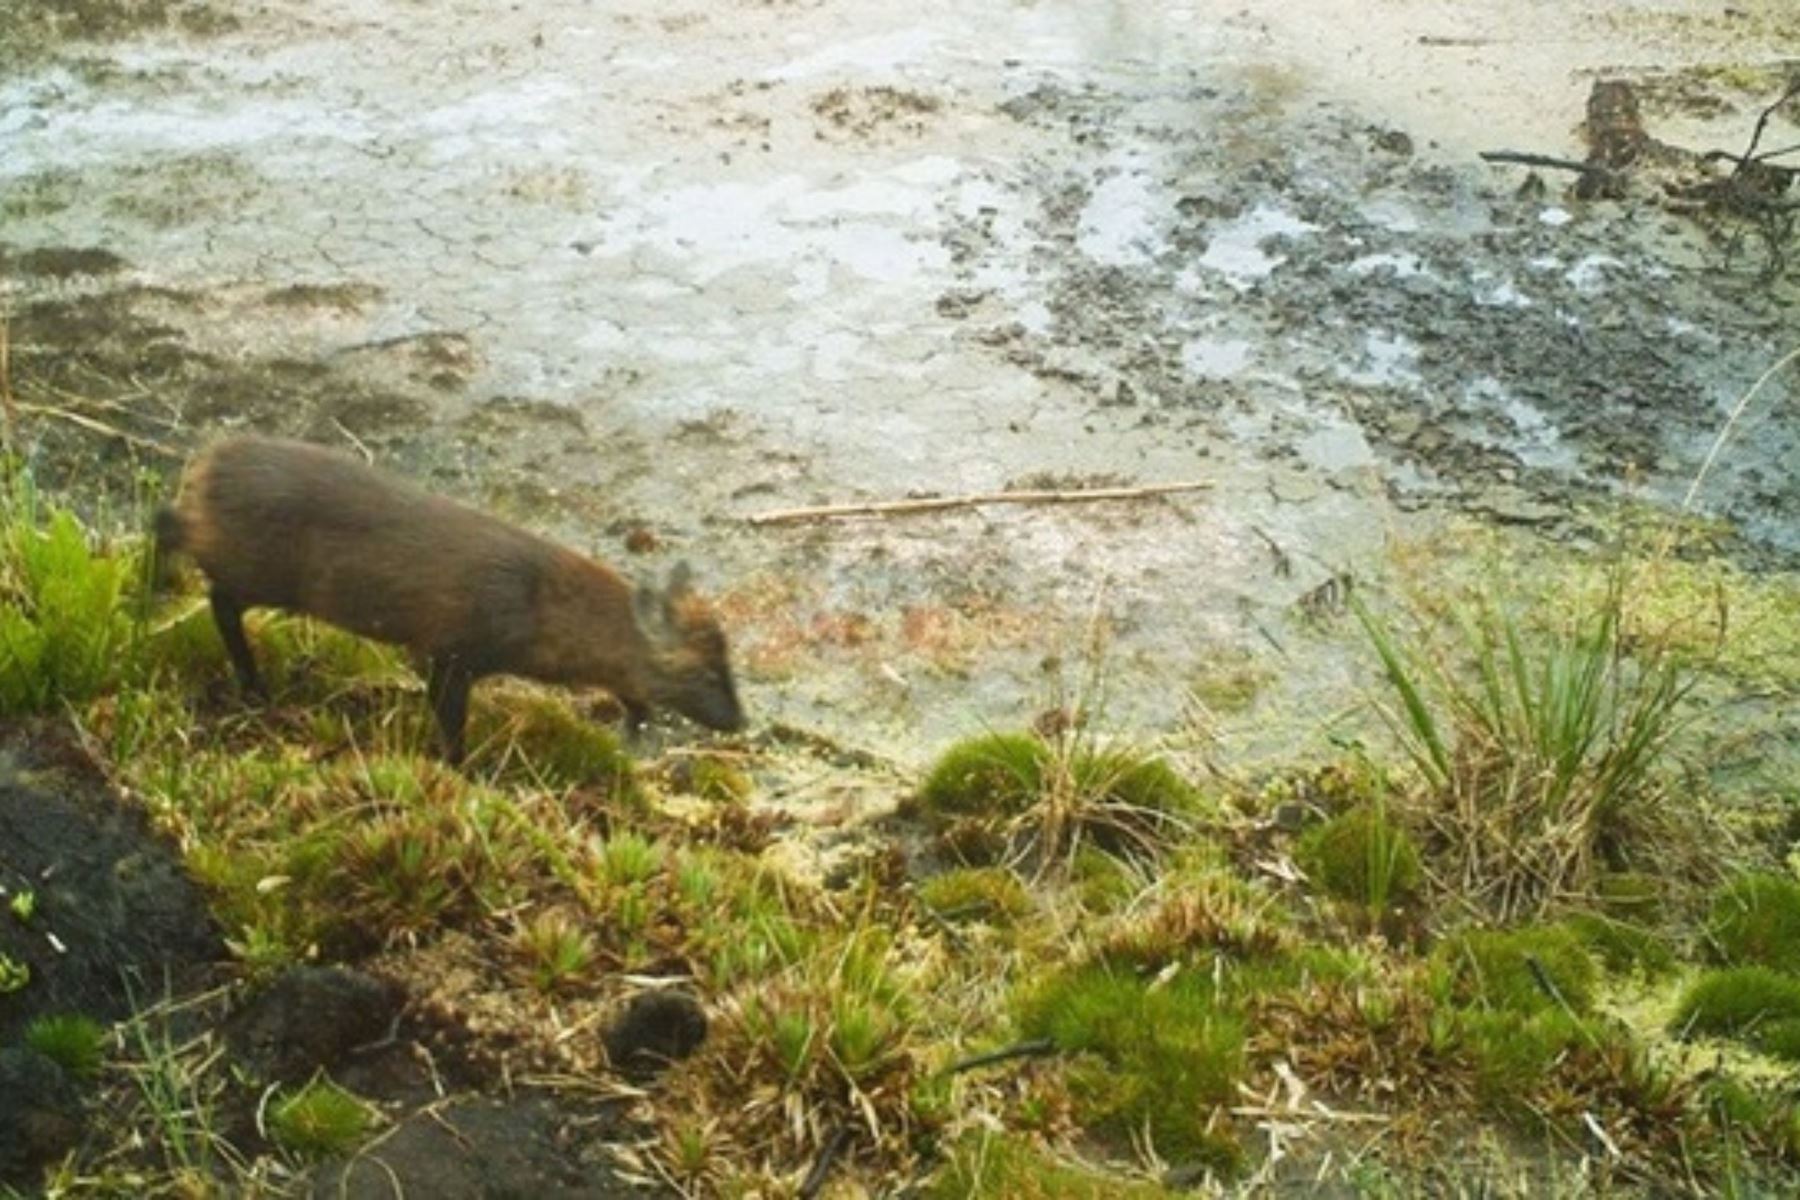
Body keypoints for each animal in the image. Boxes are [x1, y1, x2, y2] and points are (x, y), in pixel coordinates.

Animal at [156, 437, 745, 766]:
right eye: (704, 672)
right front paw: (463, 772)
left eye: (729, 663)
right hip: (253, 567)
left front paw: (634, 723)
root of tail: (204, 465)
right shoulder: (452, 652)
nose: (740, 721)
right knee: (200, 573)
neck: (540, 607)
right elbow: (451, 725)